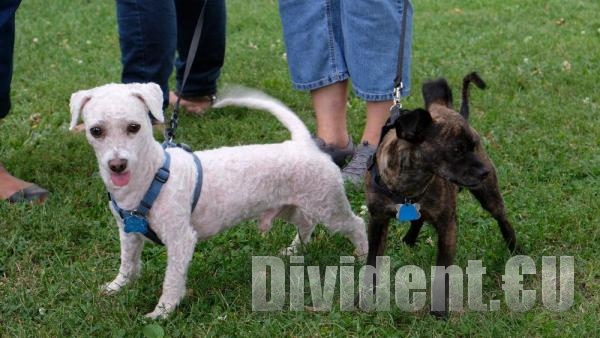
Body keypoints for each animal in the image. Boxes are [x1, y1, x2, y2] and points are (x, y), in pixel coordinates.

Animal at [71, 83, 370, 318]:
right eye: (96, 131)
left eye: (134, 127)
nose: (117, 165)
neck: (152, 175)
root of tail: (303, 144)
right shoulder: (128, 232)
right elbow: (128, 264)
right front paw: (117, 287)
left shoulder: (181, 240)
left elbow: (172, 281)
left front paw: (162, 312)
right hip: (292, 205)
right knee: (306, 224)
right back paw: (295, 249)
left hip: (328, 206)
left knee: (356, 224)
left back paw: (363, 255)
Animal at [364, 71, 516, 316]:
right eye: (456, 149)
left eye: (474, 144)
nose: (484, 171)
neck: (408, 186)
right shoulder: (377, 221)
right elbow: (371, 262)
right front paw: (365, 297)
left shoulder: (447, 227)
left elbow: (442, 272)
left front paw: (438, 311)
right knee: (418, 219)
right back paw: (409, 239)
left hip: (489, 195)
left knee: (502, 218)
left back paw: (516, 249)